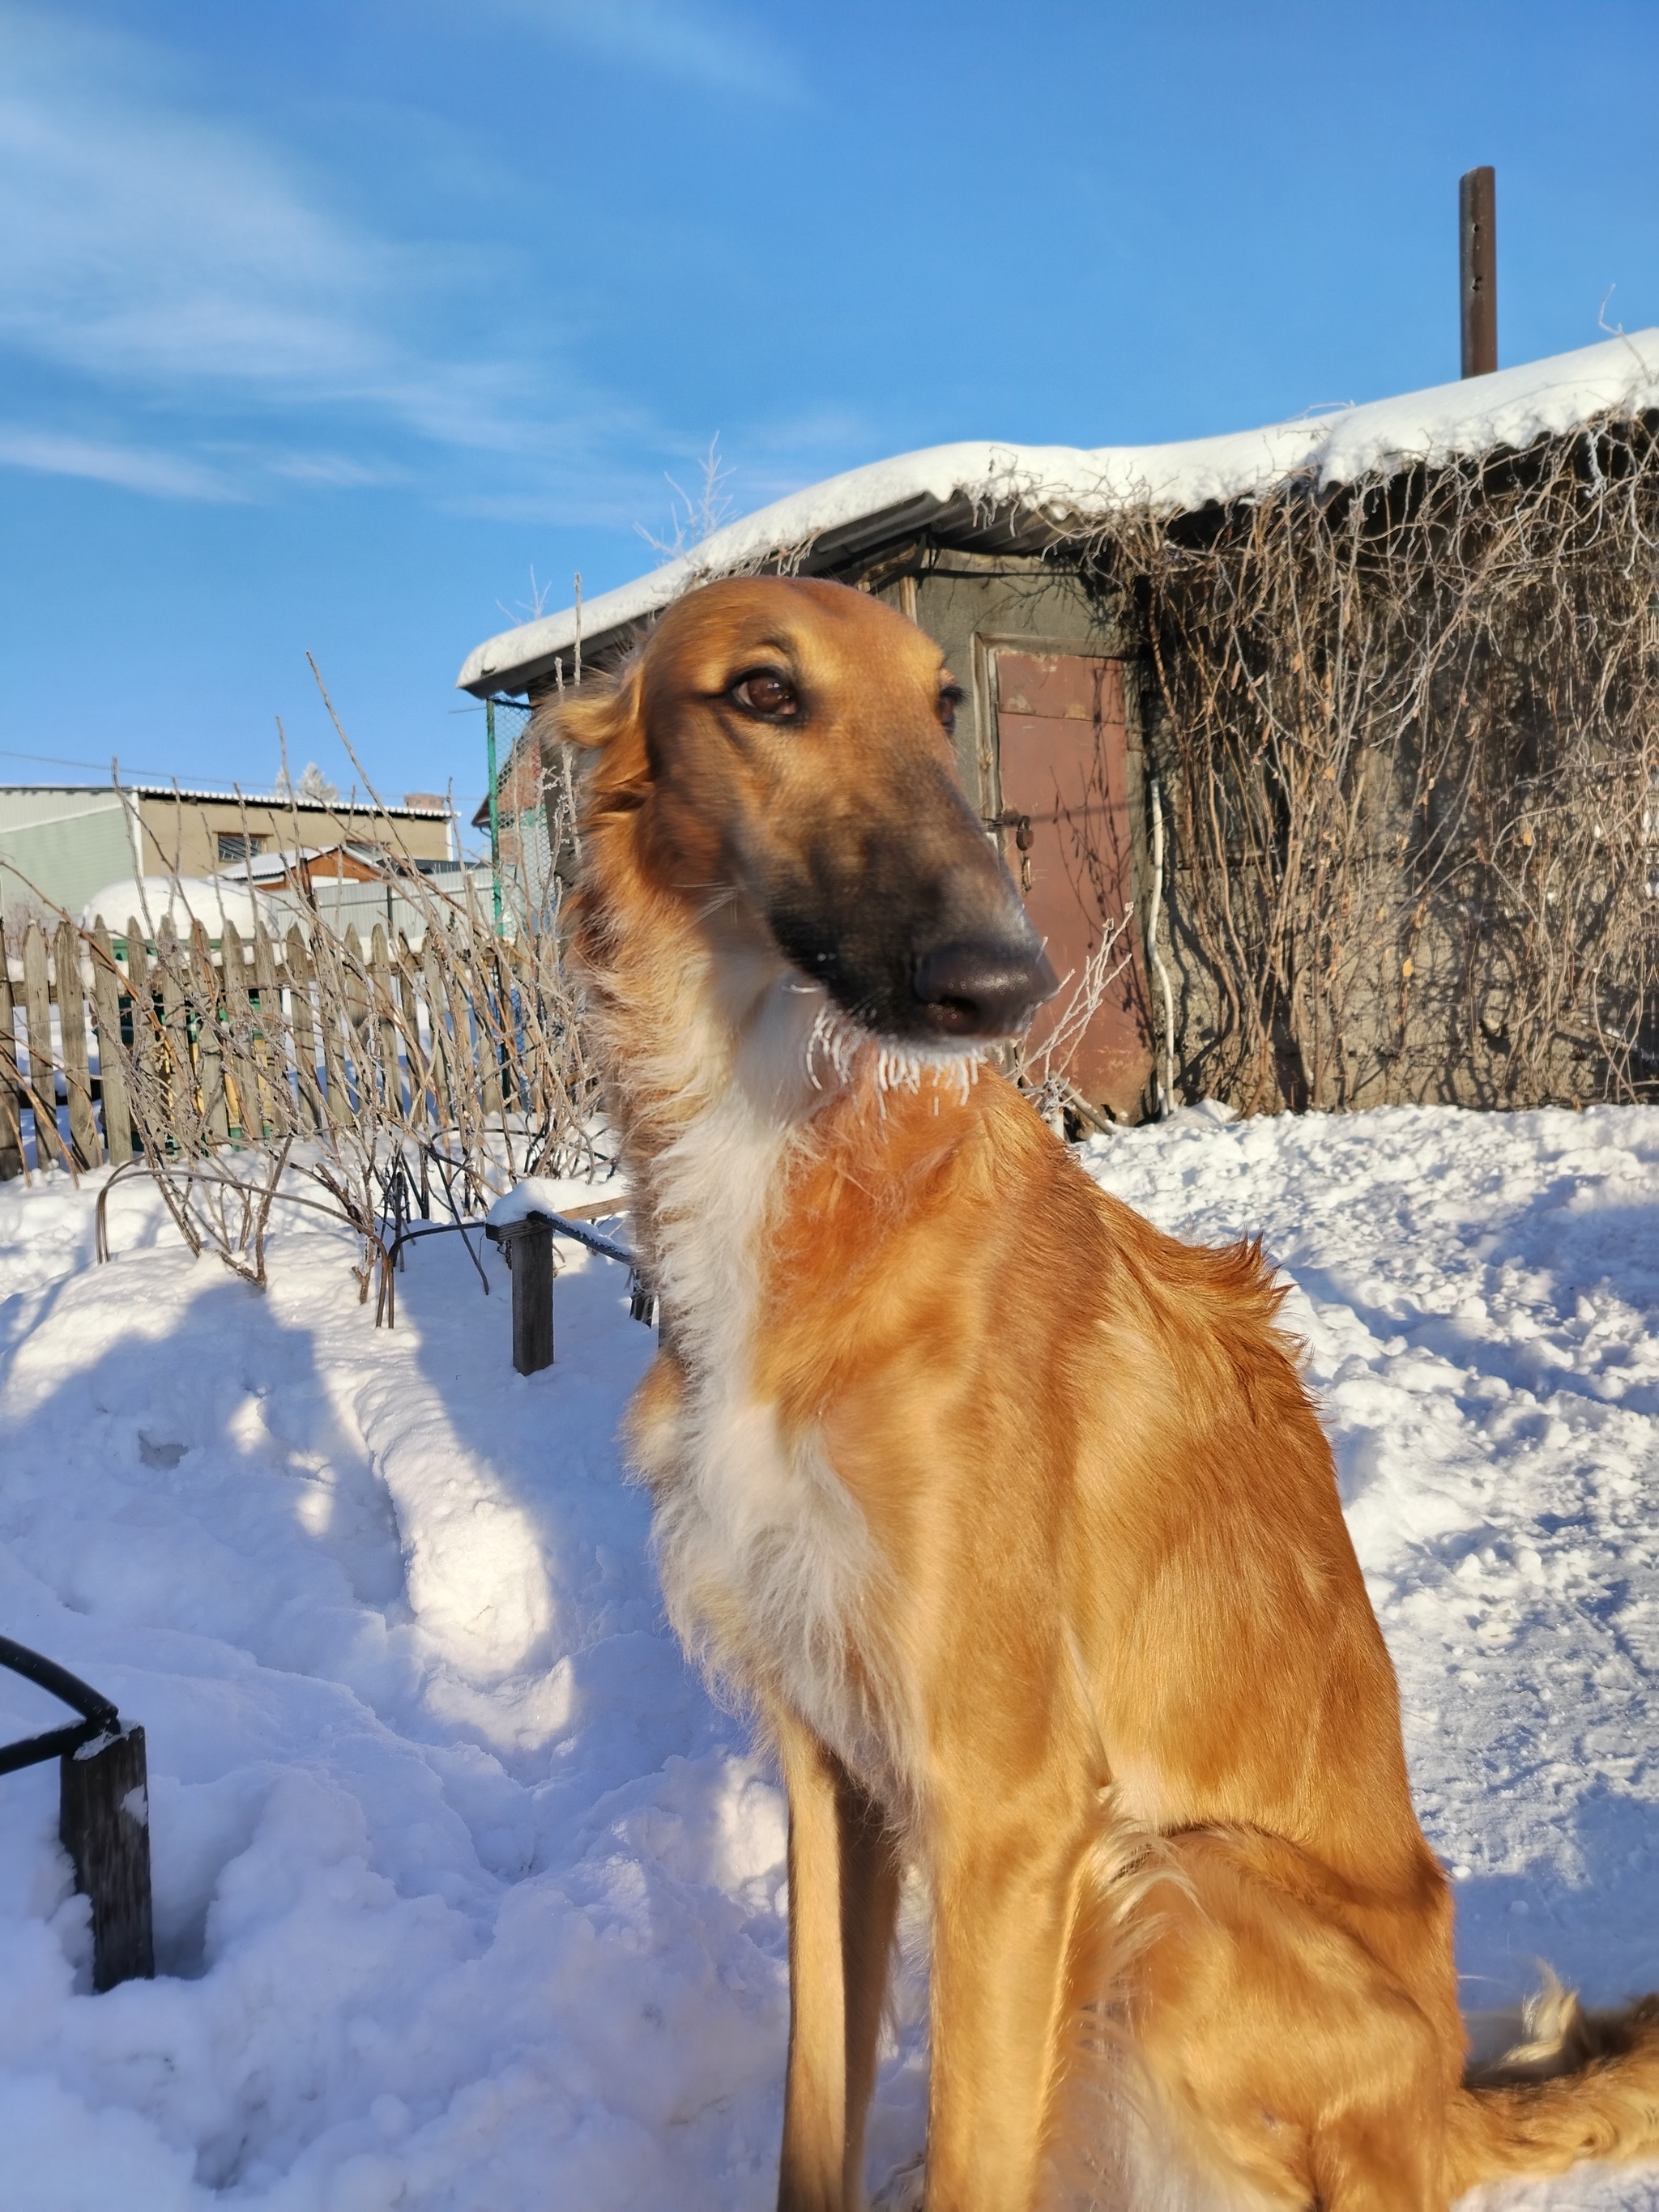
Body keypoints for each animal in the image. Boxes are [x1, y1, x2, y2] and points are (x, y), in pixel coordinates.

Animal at [555, 579, 1659, 2203]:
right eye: (764, 692)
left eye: (944, 701)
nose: (1002, 981)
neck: (814, 1161)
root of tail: (1445, 2101)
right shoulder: (832, 1763)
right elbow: (812, 2121)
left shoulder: (1008, 1809)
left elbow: (972, 2162)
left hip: (1178, 1890)